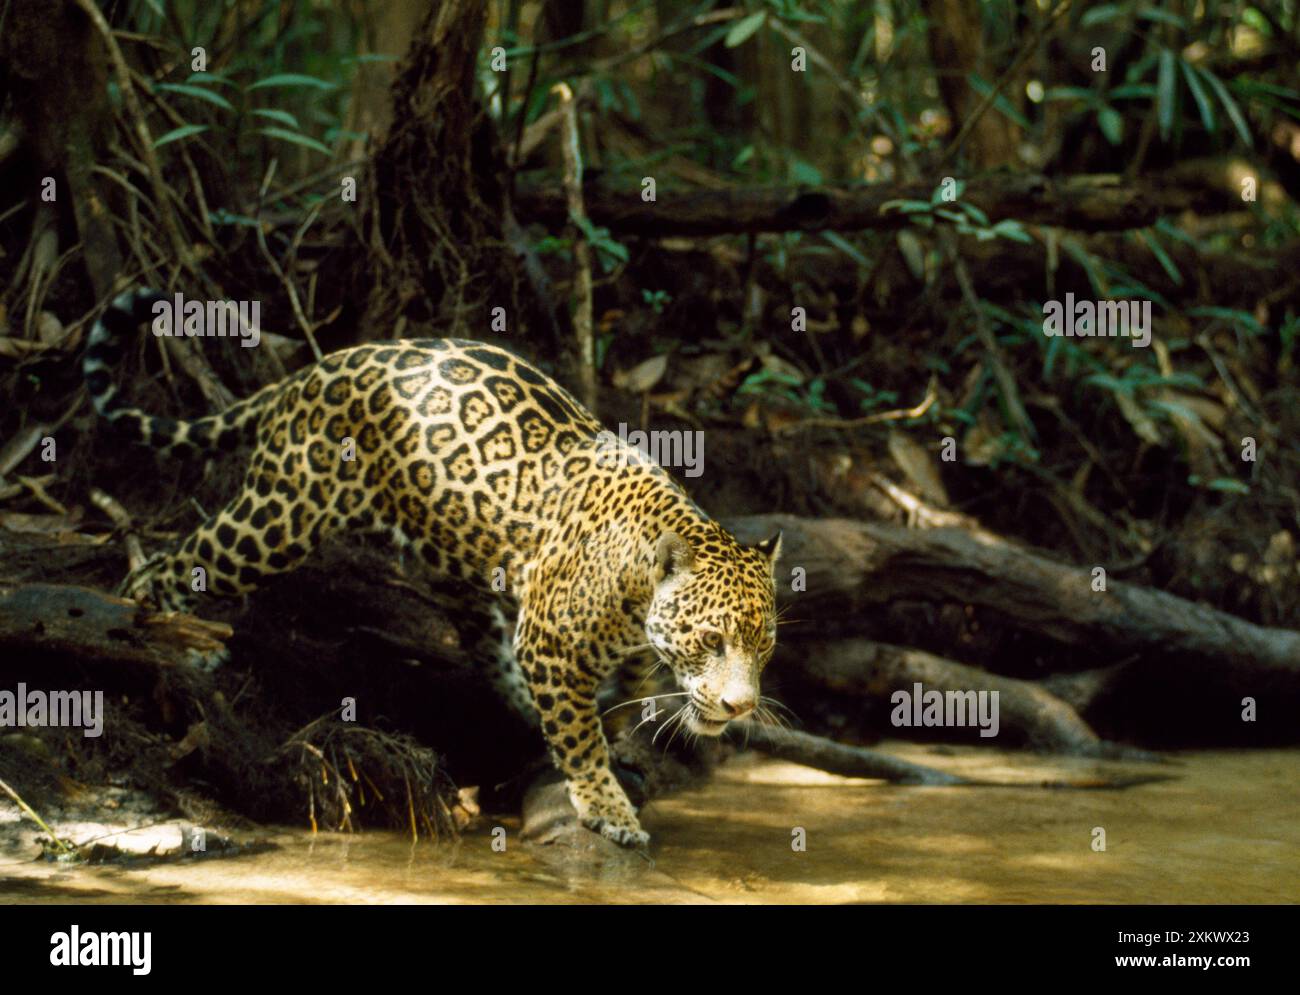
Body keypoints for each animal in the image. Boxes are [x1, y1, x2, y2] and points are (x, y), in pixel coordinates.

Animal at [83, 288, 782, 847]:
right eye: (711, 639)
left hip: (450, 550)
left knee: (482, 636)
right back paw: (158, 632)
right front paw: (606, 803)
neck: (638, 588)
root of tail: (315, 367)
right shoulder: (550, 642)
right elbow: (580, 733)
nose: (741, 706)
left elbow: (622, 701)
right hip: (281, 515)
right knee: (180, 559)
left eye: (764, 645)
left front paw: (624, 742)